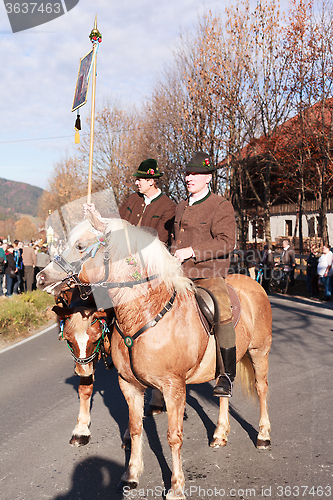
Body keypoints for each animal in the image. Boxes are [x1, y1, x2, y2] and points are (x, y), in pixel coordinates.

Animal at [37, 215, 272, 500]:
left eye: (80, 246)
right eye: (68, 340)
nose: (41, 277)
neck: (144, 311)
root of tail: (252, 282)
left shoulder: (173, 387)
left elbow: (174, 436)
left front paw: (176, 487)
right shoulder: (129, 385)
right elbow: (136, 428)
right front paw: (131, 474)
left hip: (259, 352)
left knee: (261, 389)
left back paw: (263, 436)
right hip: (224, 366)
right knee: (224, 391)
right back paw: (219, 433)